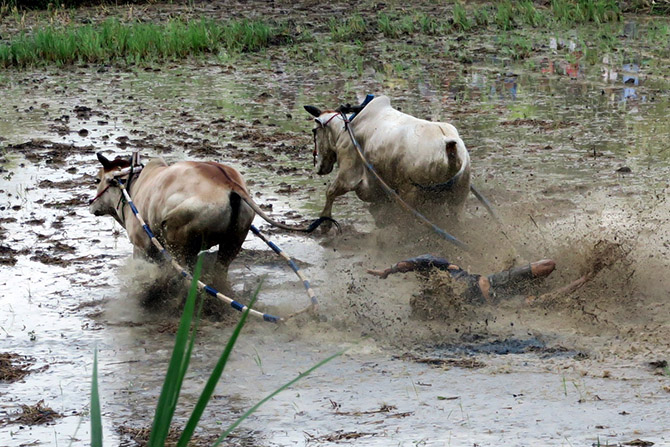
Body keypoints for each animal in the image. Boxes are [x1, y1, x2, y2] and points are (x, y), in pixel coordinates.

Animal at [306, 95, 472, 228]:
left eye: (314, 131)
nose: (319, 167)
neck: (346, 126)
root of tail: (449, 144)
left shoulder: (348, 175)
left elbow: (330, 192)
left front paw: (325, 223)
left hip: (411, 195)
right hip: (457, 200)